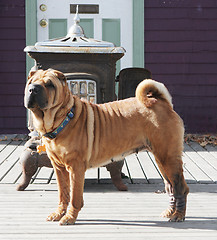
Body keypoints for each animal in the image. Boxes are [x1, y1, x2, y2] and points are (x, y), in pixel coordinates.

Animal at [24, 69, 189, 225]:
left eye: (50, 84)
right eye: (31, 82)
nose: (33, 89)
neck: (62, 119)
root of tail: (162, 102)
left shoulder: (75, 168)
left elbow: (75, 197)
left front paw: (69, 218)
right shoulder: (59, 168)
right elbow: (63, 194)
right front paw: (58, 214)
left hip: (168, 158)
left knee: (181, 188)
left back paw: (178, 216)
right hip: (161, 160)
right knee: (170, 187)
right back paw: (169, 212)